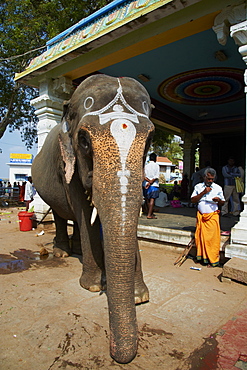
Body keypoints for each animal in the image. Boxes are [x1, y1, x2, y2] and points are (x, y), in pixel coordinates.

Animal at [31, 73, 154, 362]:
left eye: (149, 141)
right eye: (85, 141)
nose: (117, 354)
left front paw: (140, 296)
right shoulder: (67, 163)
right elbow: (84, 210)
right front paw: (93, 287)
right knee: (62, 213)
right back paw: (63, 252)